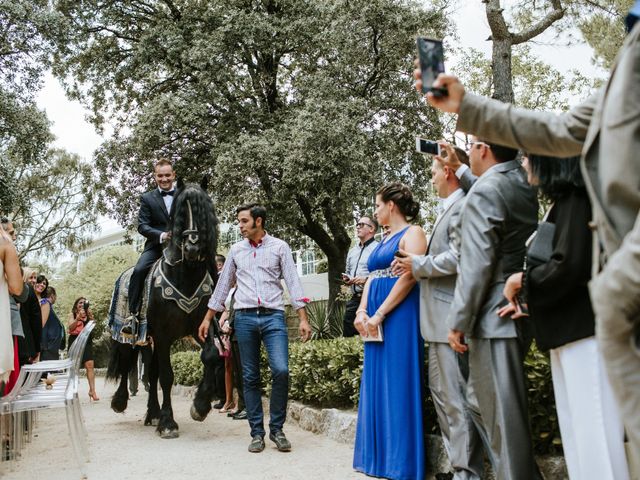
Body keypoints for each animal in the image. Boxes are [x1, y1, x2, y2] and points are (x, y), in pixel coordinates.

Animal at [106, 180, 224, 438]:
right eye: (180, 212)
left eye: (203, 211)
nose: (192, 247)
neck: (185, 274)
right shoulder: (162, 335)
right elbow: (167, 377)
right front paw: (168, 423)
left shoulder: (201, 327)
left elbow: (211, 356)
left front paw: (200, 406)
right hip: (131, 336)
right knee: (127, 363)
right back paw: (120, 401)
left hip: (150, 341)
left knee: (150, 373)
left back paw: (152, 413)